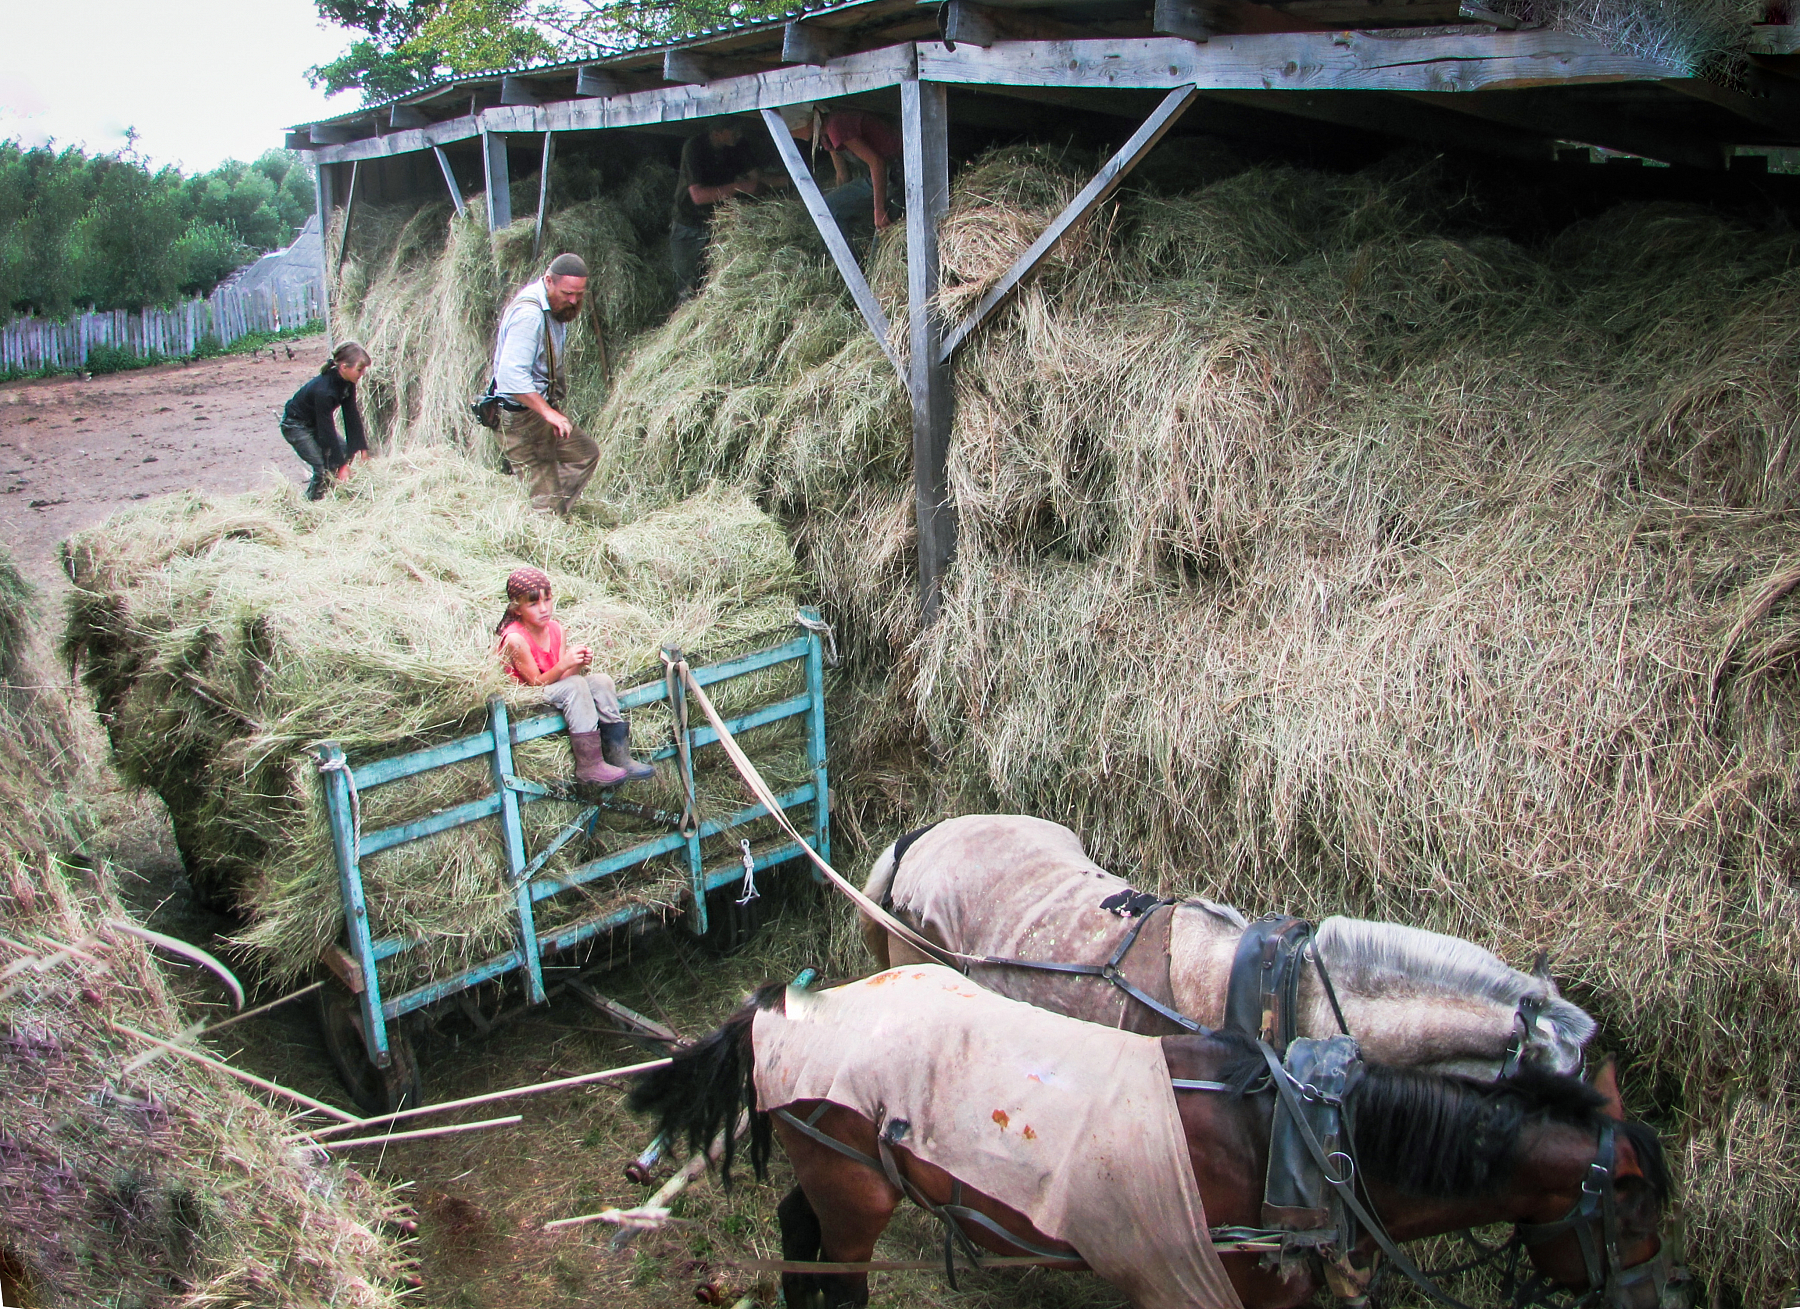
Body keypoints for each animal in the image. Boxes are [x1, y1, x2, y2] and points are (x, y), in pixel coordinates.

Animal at [633, 965, 1670, 1309]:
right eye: (1635, 1210)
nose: (1672, 1294)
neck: (1302, 1148)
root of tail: (786, 1009)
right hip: (859, 1196)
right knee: (837, 1274)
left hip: (836, 1169)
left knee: (796, 1231)